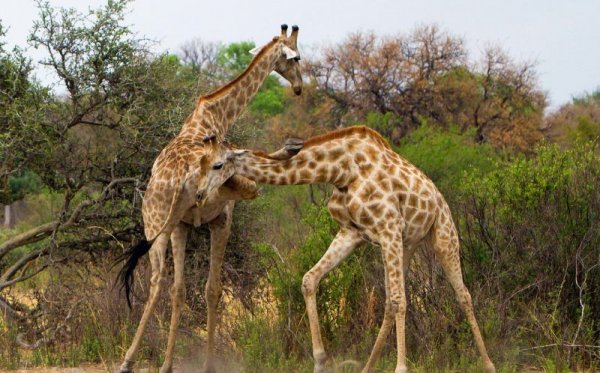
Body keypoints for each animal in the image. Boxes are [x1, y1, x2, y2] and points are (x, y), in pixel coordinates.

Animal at [118, 24, 304, 372]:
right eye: (296, 56)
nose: (299, 88)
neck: (214, 115)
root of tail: (179, 175)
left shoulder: (185, 225)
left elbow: (185, 289)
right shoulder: (221, 218)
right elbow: (213, 290)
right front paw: (208, 363)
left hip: (159, 226)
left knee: (164, 284)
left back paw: (142, 361)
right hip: (202, 213)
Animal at [202, 125, 496, 372]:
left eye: (218, 165)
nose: (201, 194)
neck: (341, 169)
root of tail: (438, 195)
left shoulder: (389, 227)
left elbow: (401, 300)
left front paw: (401, 368)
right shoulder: (352, 232)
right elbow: (309, 279)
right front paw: (320, 361)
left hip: (443, 235)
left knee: (462, 295)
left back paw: (489, 364)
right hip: (406, 245)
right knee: (389, 302)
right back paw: (367, 367)